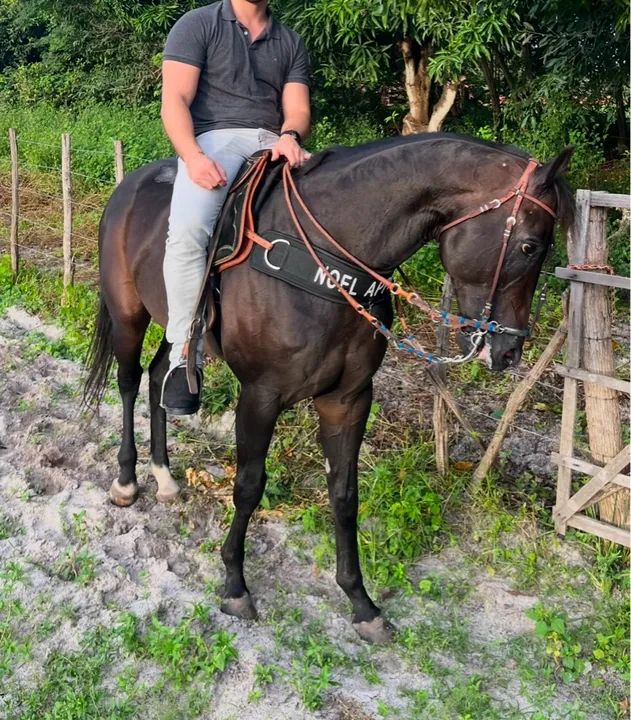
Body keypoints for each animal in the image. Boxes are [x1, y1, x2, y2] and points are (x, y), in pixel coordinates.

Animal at [83, 133, 573, 643]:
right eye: (530, 246)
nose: (509, 352)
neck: (327, 265)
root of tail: (131, 185)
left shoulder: (348, 400)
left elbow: (344, 494)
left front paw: (360, 601)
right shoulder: (260, 396)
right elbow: (249, 486)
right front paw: (235, 583)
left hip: (177, 328)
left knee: (162, 376)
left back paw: (163, 475)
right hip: (127, 316)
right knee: (128, 382)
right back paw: (127, 480)